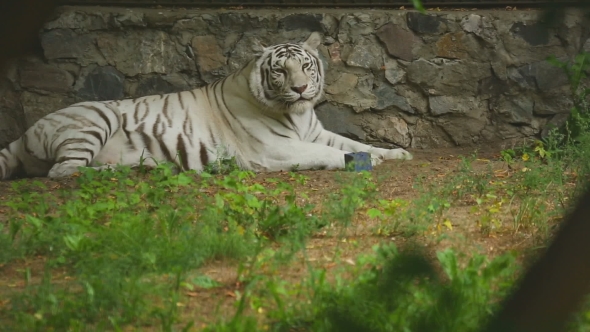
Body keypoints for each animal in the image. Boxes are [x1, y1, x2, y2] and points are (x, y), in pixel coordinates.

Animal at [0, 32, 414, 180]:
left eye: (306, 66)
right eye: (280, 70)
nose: (299, 89)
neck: (297, 114)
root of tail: (22, 134)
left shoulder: (317, 132)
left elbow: (356, 143)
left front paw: (394, 154)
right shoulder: (274, 150)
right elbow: (328, 153)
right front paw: (362, 162)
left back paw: (145, 166)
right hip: (95, 117)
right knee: (63, 171)